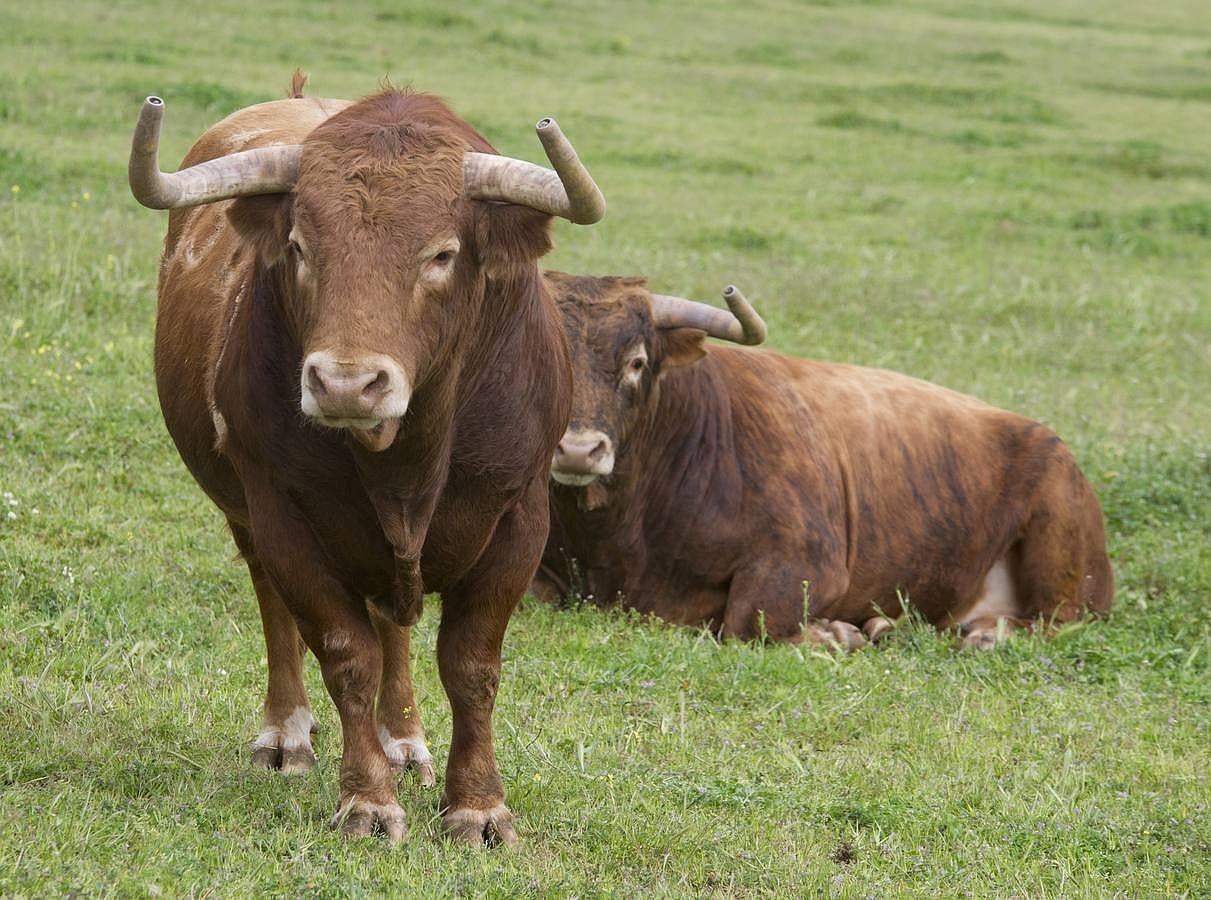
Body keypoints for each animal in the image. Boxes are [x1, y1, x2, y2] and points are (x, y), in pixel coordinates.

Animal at [132, 81, 605, 847]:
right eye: (298, 246)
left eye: (442, 253)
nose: (346, 385)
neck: (404, 463)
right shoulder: (283, 518)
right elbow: (344, 653)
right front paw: (367, 801)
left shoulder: (520, 517)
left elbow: (470, 665)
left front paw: (478, 806)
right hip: (247, 516)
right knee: (277, 606)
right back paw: (286, 733)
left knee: (394, 624)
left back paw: (404, 739)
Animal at [535, 272, 1109, 649]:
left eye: (636, 362)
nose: (578, 449)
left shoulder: (809, 563)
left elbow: (747, 623)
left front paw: (833, 633)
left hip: (1064, 548)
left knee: (1061, 618)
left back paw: (987, 633)